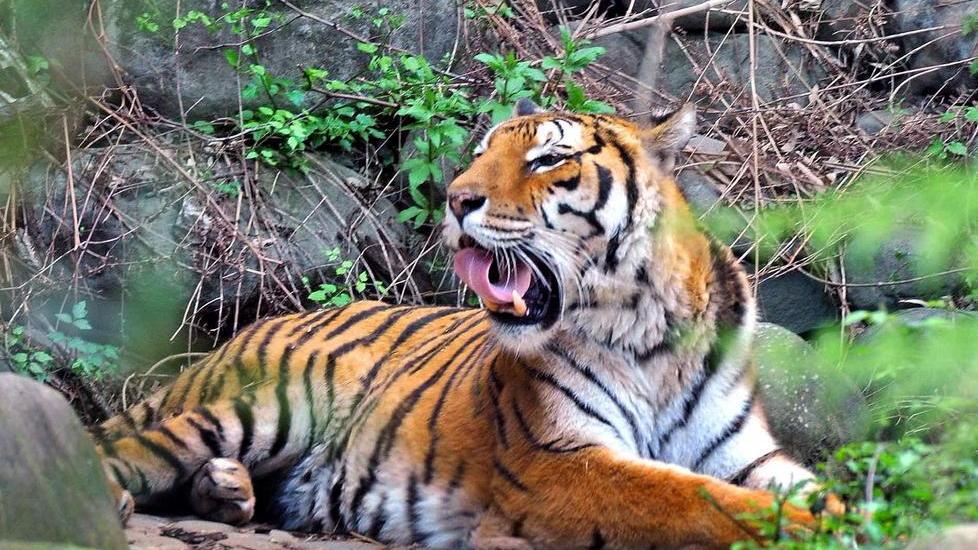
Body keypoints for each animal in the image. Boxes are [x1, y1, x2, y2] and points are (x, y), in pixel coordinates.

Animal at [93, 99, 836, 549]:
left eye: (548, 159)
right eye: (481, 154)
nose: (455, 199)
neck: (650, 335)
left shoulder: (749, 457)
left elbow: (812, 490)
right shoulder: (559, 461)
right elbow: (696, 500)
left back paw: (226, 491)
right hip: (259, 407)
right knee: (127, 449)